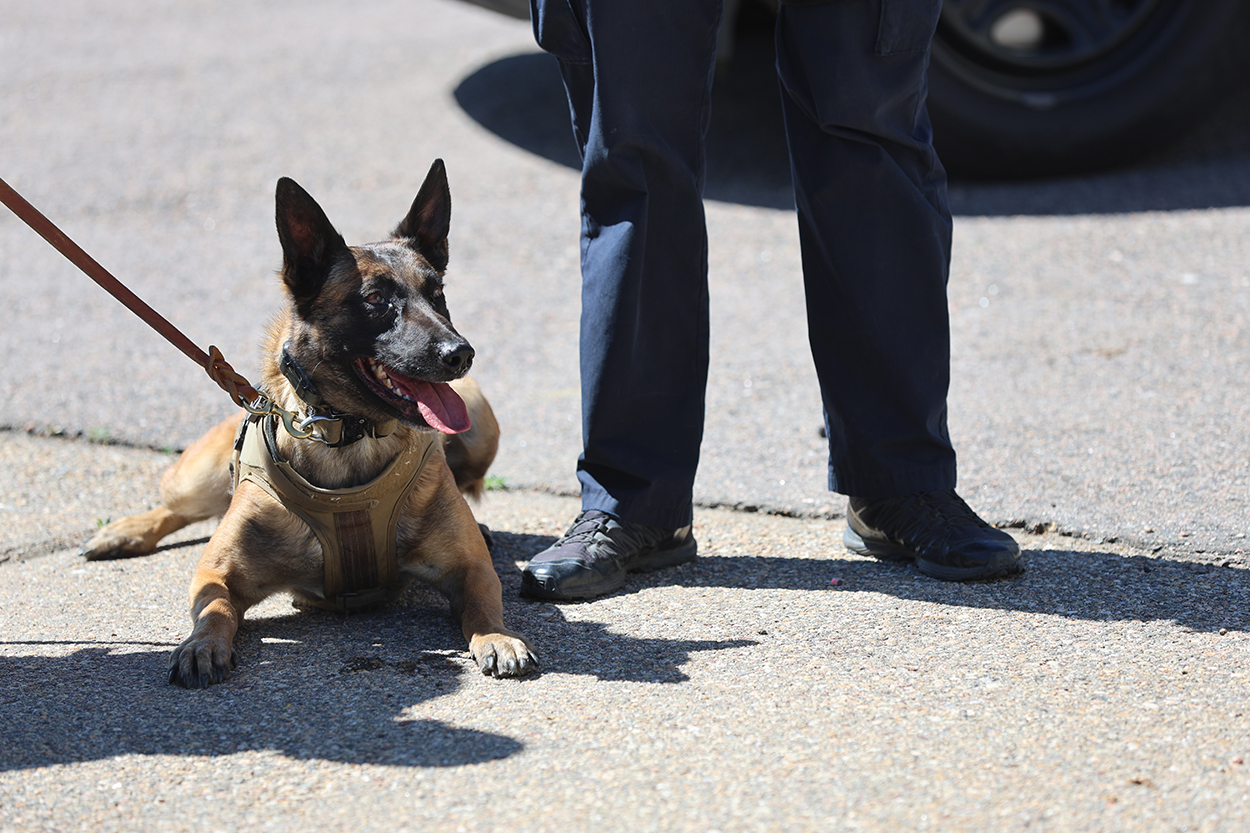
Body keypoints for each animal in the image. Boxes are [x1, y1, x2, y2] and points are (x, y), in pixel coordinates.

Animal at [83, 158, 537, 685]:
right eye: (376, 299)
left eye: (438, 293)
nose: (460, 354)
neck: (347, 438)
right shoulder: (215, 573)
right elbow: (215, 609)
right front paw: (201, 645)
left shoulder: (470, 569)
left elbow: (482, 603)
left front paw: (498, 637)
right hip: (193, 477)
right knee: (175, 508)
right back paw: (123, 532)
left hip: (481, 423)